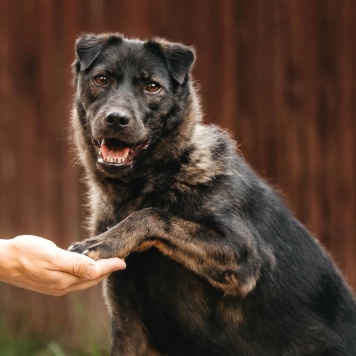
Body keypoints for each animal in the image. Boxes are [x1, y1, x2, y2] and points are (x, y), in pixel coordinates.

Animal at [69, 32, 356, 354]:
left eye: (152, 86)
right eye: (102, 79)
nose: (117, 119)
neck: (153, 180)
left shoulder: (243, 257)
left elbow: (153, 215)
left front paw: (106, 240)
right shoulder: (128, 324)